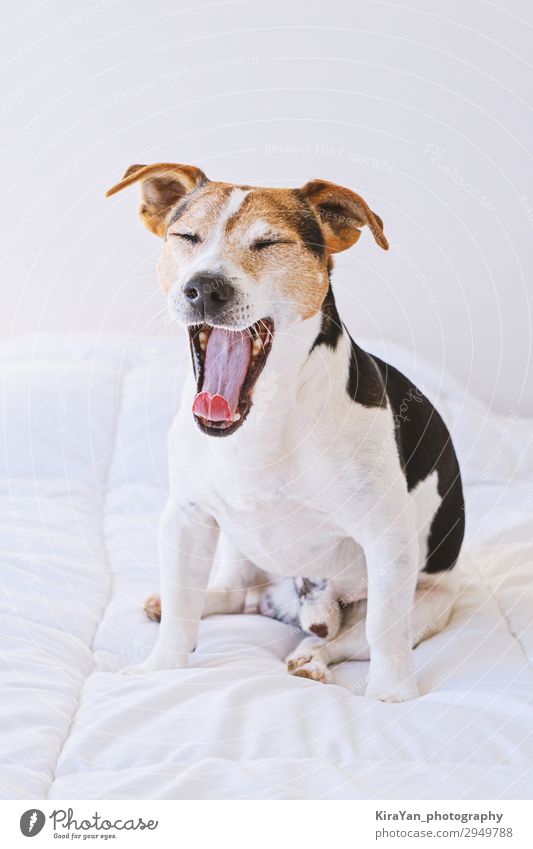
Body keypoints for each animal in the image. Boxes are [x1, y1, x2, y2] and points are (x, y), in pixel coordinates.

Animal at [106, 164, 464, 704]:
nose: (204, 288)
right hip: (237, 545)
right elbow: (182, 608)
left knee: (352, 636)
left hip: (427, 600)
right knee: (231, 592)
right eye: (186, 237)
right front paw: (161, 668)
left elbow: (384, 630)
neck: (266, 414)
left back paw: (313, 657)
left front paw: (391, 696)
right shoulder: (187, 517)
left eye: (269, 242)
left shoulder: (386, 539)